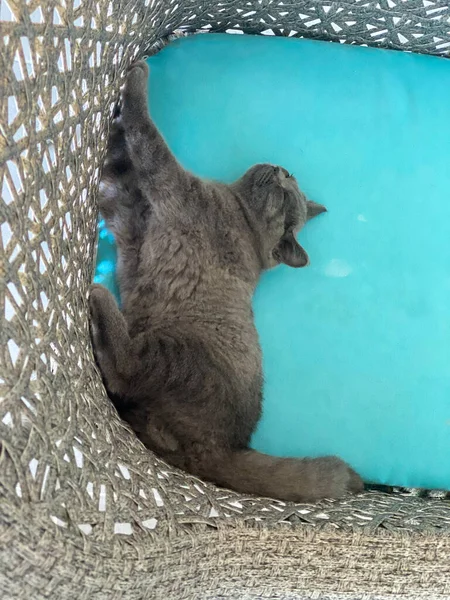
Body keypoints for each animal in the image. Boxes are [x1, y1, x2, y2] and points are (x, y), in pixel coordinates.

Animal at [89, 62, 364, 502]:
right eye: (291, 180)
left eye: (285, 195)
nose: (283, 171)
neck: (239, 211)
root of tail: (227, 447)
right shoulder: (133, 216)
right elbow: (119, 171)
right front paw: (116, 122)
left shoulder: (175, 187)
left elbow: (150, 142)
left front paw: (137, 79)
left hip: (179, 356)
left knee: (127, 369)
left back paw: (100, 300)